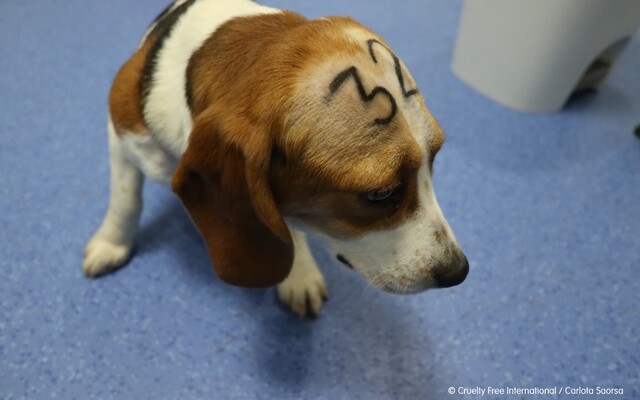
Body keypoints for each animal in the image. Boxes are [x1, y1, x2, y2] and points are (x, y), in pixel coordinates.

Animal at [82, 0, 468, 318]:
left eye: (435, 159)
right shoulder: (120, 131)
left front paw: (298, 272)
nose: (459, 271)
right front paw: (112, 243)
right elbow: (126, 199)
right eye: (381, 195)